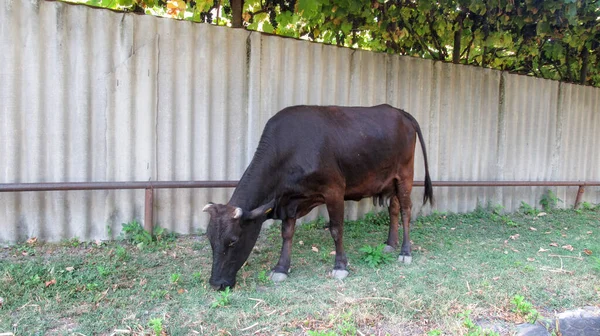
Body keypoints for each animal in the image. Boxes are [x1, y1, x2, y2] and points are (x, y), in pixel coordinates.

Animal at [204, 104, 434, 288]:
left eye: (233, 241)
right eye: (210, 239)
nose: (216, 284)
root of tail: (399, 111)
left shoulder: (334, 190)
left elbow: (336, 229)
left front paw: (340, 266)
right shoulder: (289, 200)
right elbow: (287, 233)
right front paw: (281, 268)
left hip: (405, 175)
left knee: (405, 211)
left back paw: (405, 252)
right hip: (391, 180)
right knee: (393, 208)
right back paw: (390, 244)